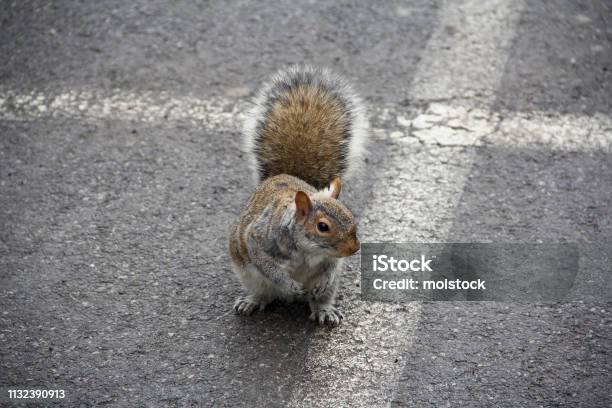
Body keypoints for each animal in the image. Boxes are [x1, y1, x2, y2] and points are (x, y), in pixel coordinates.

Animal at [227, 67, 366, 328]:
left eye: (352, 217)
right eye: (323, 227)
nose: (355, 249)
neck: (309, 251)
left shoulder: (330, 260)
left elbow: (332, 266)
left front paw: (323, 279)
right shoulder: (259, 239)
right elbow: (268, 266)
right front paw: (290, 284)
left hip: (330, 290)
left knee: (321, 298)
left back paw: (324, 310)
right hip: (248, 274)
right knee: (263, 292)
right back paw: (252, 301)